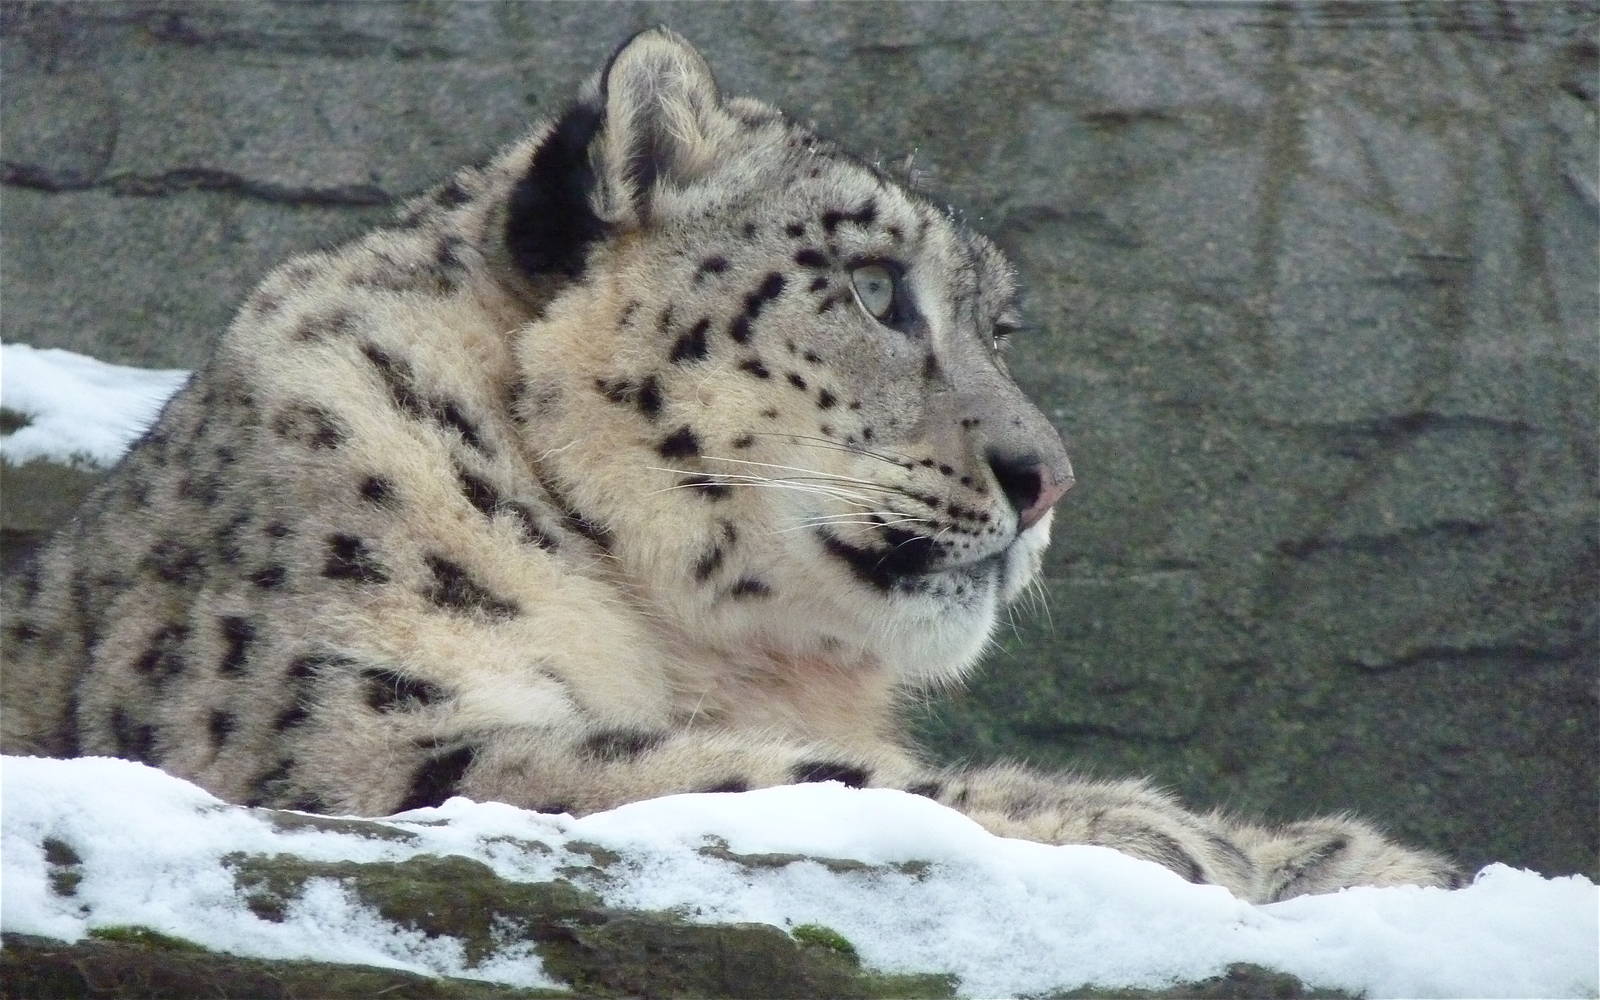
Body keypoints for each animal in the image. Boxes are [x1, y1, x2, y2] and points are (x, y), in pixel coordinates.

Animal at [1, 28, 1460, 904]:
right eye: (873, 288)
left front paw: (1355, 855)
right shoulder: (348, 740)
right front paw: (1144, 828)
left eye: (1000, 326)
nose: (1048, 476)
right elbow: (782, 777)